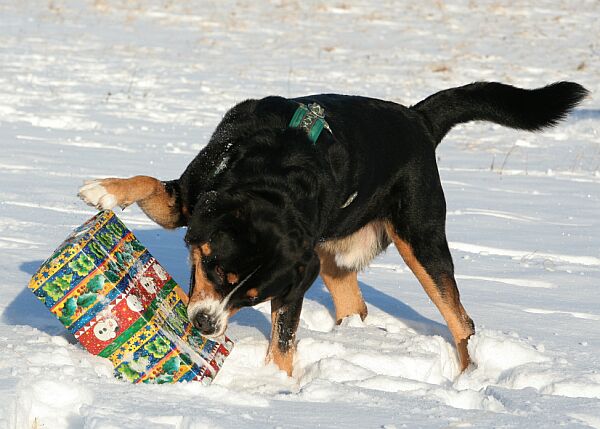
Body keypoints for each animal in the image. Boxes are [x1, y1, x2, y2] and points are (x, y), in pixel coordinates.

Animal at [77, 80, 588, 374]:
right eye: (217, 270)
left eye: (250, 297)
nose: (205, 325)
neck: (274, 169)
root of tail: (417, 117)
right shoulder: (188, 196)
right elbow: (147, 183)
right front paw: (103, 189)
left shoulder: (291, 283)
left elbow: (285, 337)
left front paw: (274, 385)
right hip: (328, 252)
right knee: (355, 304)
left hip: (420, 239)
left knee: (461, 321)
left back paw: (468, 381)